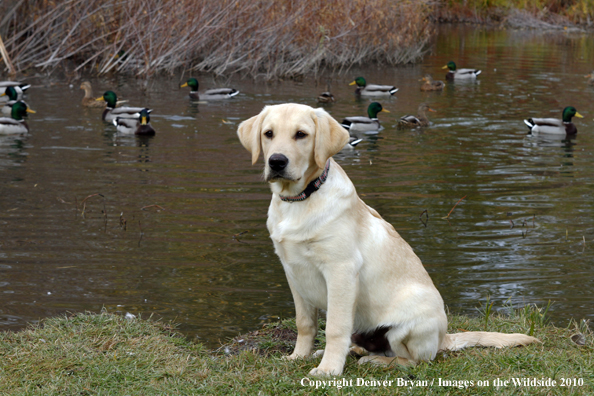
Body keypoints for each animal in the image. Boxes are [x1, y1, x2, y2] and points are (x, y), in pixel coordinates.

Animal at [235, 103, 536, 376]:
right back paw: (355, 350)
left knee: (416, 361)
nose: (276, 161)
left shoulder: (341, 270)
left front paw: (329, 370)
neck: (300, 199)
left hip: (408, 324)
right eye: (268, 133)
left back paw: (375, 361)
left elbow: (334, 327)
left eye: (301, 134)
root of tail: (444, 338)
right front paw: (298, 357)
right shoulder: (293, 271)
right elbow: (304, 323)